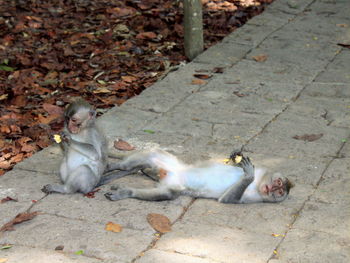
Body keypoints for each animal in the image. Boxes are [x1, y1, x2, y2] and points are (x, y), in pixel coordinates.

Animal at [103, 151, 292, 204]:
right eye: (278, 183)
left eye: (280, 192)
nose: (273, 189)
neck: (259, 183)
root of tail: (171, 172)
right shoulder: (261, 168)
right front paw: (243, 167)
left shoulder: (256, 198)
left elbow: (226, 200)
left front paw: (248, 177)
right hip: (165, 159)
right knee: (132, 164)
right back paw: (110, 166)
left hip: (173, 183)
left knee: (168, 194)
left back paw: (128, 191)